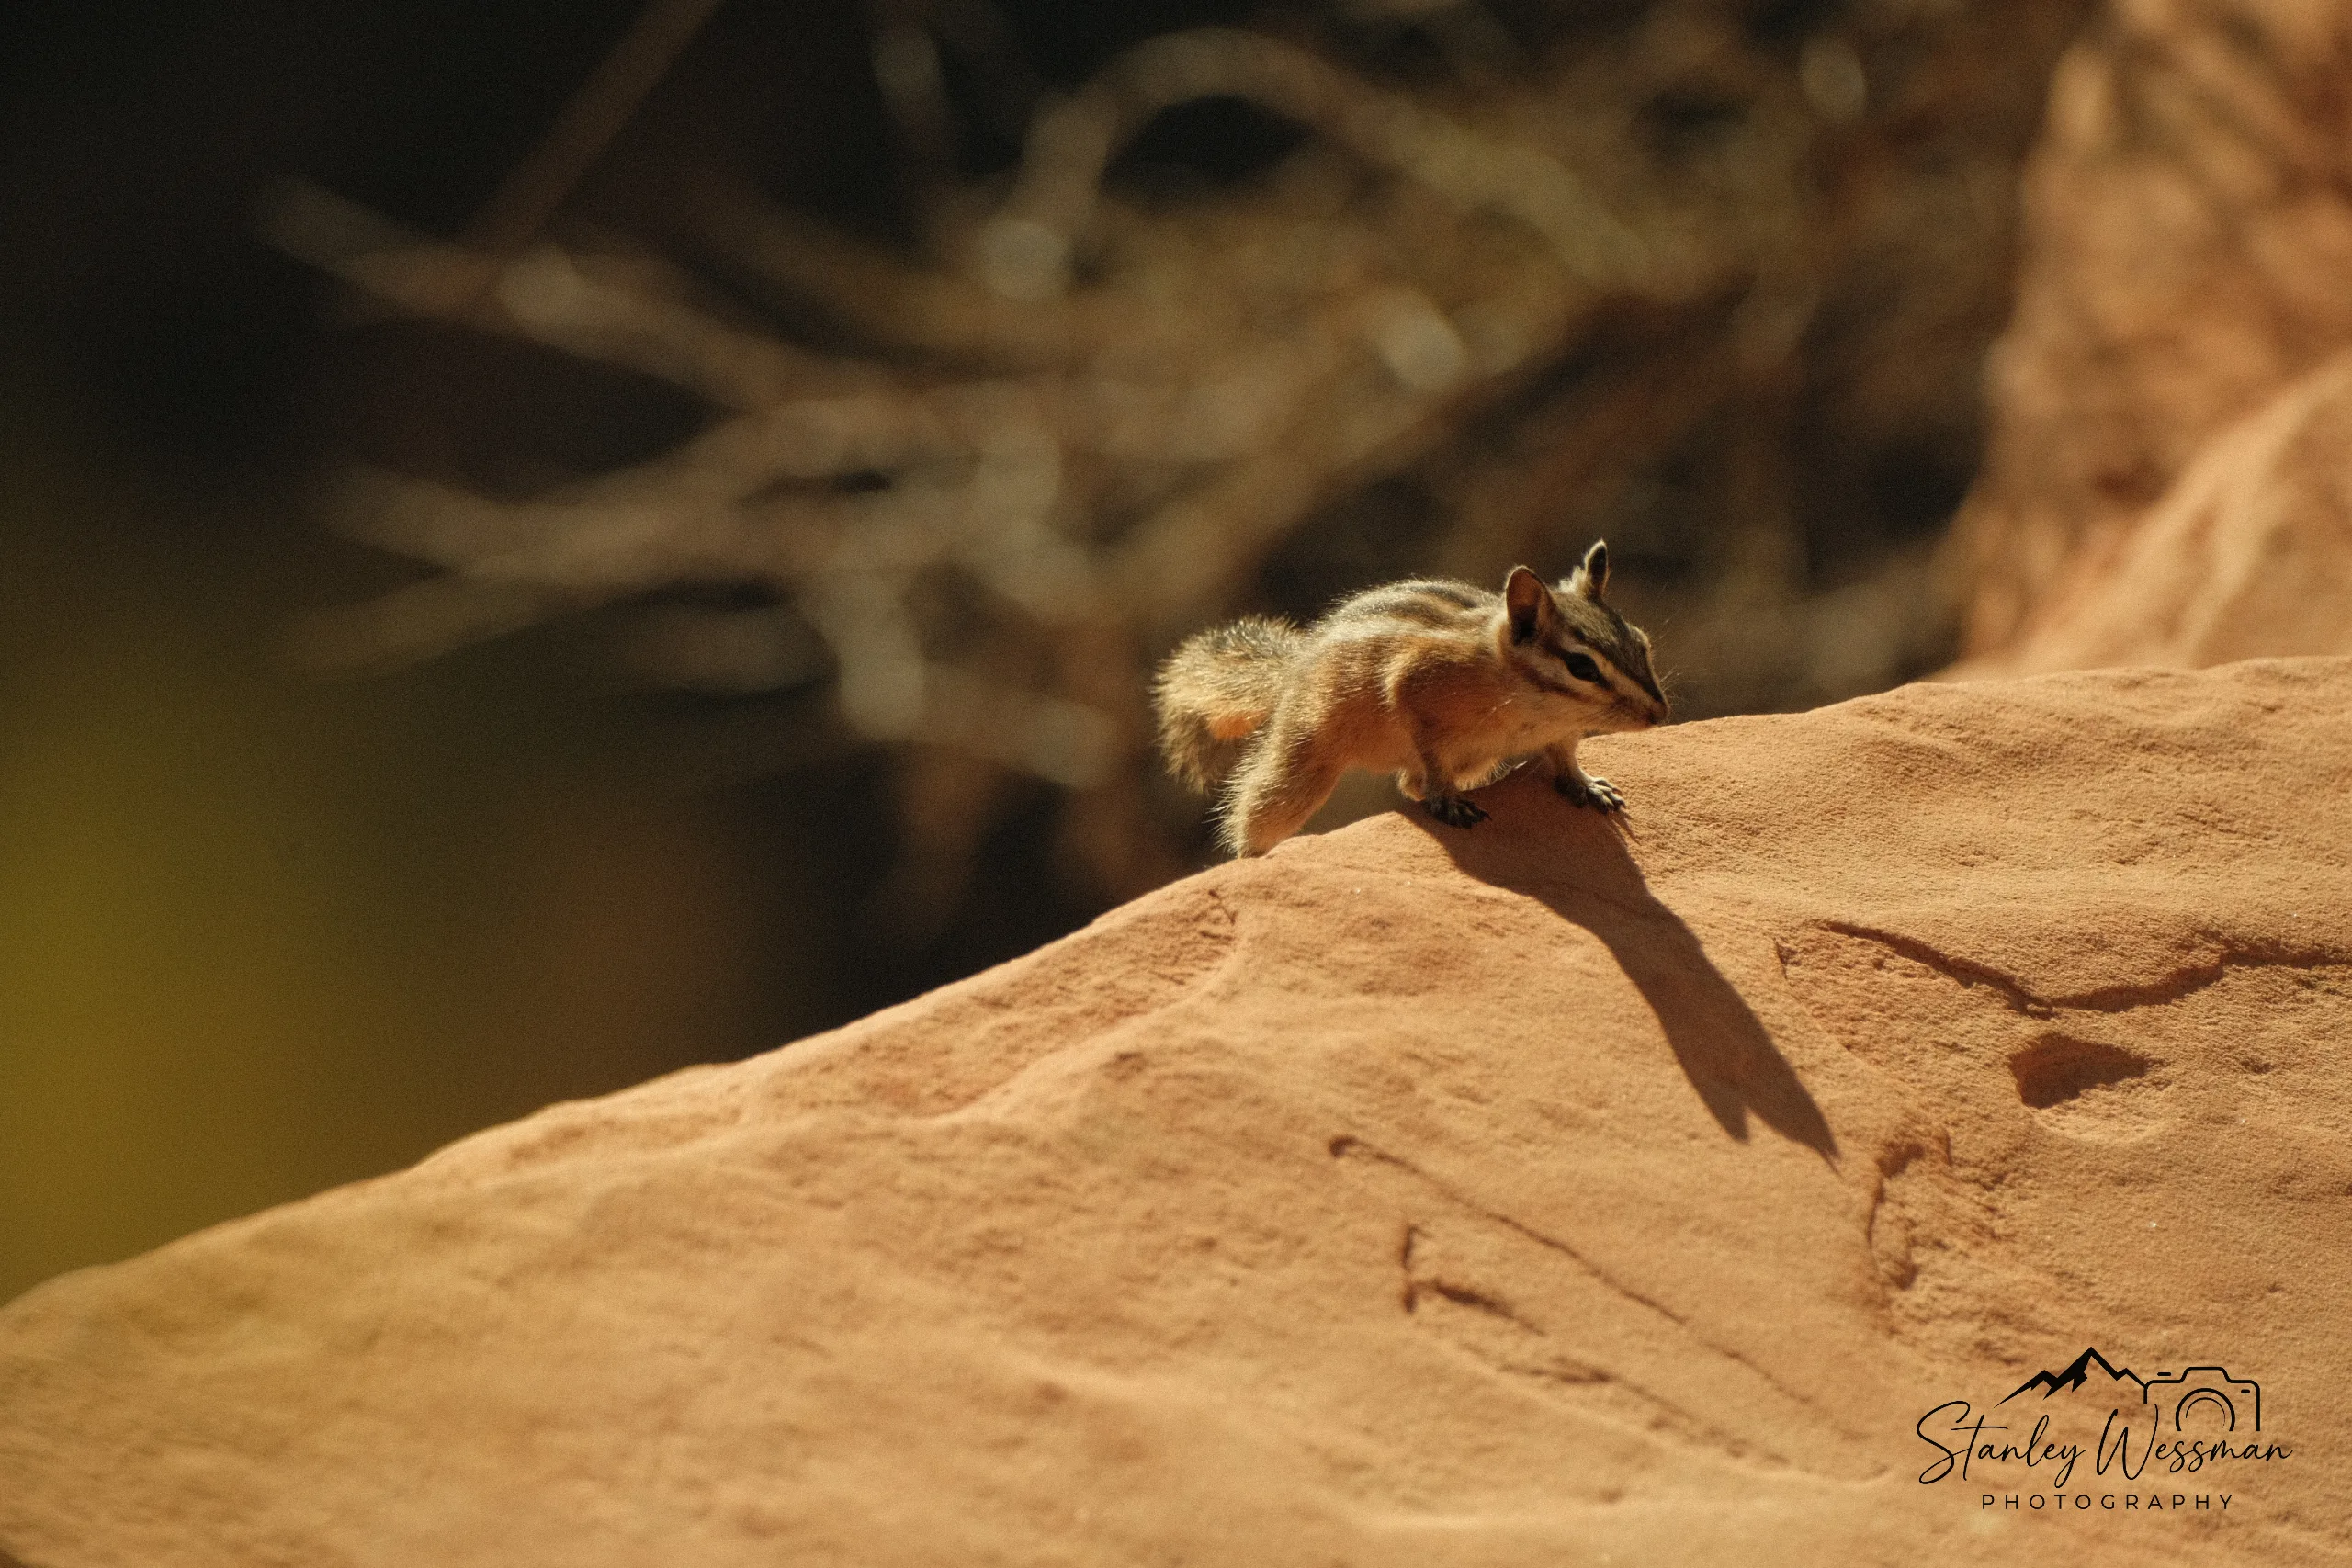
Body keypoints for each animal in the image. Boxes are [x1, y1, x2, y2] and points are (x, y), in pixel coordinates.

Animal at [1154, 541, 1669, 857]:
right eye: (1583, 667)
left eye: (1642, 643)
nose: (1659, 713)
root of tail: (1296, 666)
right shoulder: (1414, 690)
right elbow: (1431, 756)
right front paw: (1450, 802)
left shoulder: (1561, 735)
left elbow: (1564, 760)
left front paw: (1586, 785)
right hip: (1304, 756)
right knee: (1264, 809)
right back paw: (1248, 857)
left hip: (1479, 762)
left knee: (1408, 784)